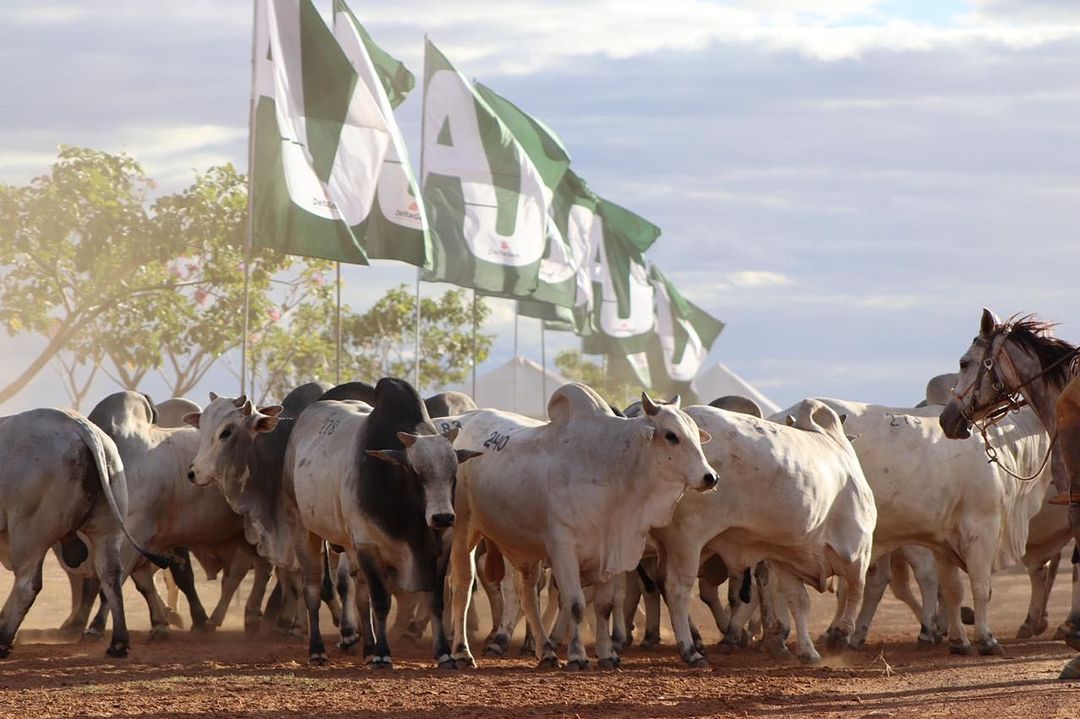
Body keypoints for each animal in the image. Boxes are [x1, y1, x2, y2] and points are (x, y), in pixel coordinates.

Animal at [447, 384, 717, 669]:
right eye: (671, 435)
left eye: (696, 434)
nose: (710, 477)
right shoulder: (564, 549)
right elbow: (575, 603)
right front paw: (577, 656)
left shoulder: (609, 556)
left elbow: (604, 606)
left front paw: (607, 654)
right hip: (464, 530)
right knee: (463, 586)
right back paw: (462, 652)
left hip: (525, 548)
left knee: (527, 594)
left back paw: (546, 651)